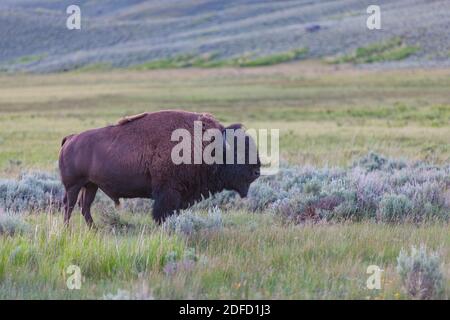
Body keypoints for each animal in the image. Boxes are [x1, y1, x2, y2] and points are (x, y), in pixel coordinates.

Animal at [58, 110, 260, 228]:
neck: (207, 144)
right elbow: (162, 212)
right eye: (238, 152)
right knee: (69, 206)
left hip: (91, 185)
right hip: (74, 186)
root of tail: (71, 138)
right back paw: (67, 230)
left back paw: (94, 229)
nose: (257, 171)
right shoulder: (168, 192)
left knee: (84, 207)